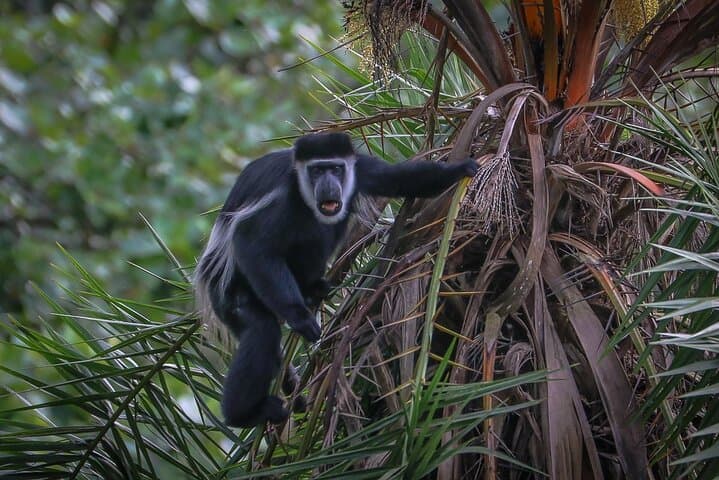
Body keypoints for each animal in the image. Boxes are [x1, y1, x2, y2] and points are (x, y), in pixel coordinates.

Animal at [194, 132, 478, 428]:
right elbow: (252, 244)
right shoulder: (280, 198)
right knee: (261, 329)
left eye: (336, 169)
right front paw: (299, 317)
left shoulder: (360, 168)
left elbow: (401, 179)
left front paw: (460, 169)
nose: (328, 184)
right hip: (231, 295)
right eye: (317, 171)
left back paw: (312, 288)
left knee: (321, 229)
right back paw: (243, 414)